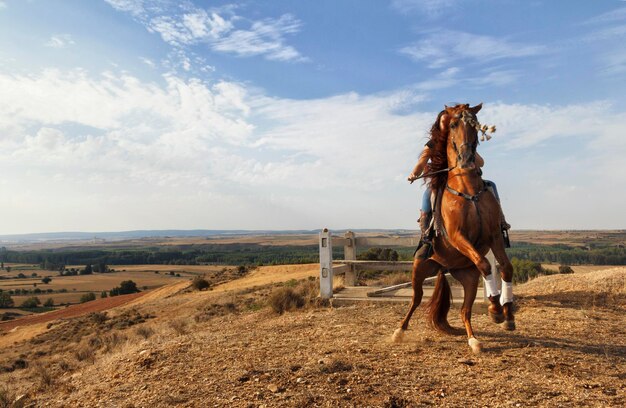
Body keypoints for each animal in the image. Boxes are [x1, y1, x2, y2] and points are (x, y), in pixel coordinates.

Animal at [392, 103, 516, 354]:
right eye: (452, 124)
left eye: (475, 125)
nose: (467, 159)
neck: (468, 190)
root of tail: (443, 267)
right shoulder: (459, 236)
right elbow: (485, 263)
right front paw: (495, 309)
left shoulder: (494, 236)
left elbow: (505, 268)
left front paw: (506, 313)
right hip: (419, 269)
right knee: (416, 300)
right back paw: (399, 330)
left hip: (468, 278)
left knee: (464, 311)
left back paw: (473, 339)